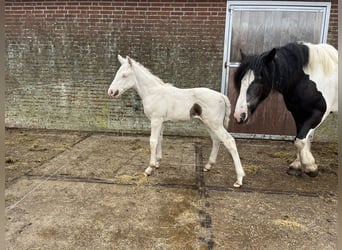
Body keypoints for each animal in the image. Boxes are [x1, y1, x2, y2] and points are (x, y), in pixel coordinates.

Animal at [234, 42, 338, 177]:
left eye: (259, 80)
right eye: (241, 80)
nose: (239, 115)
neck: (306, 80)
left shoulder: (318, 114)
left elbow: (300, 140)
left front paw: (310, 167)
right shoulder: (298, 113)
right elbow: (301, 139)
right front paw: (297, 166)